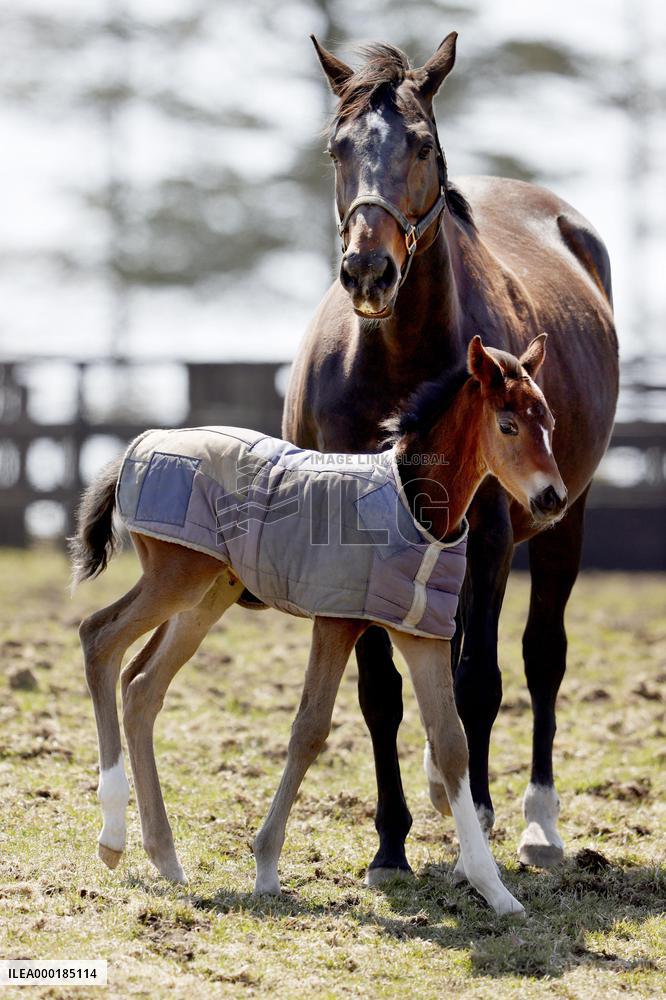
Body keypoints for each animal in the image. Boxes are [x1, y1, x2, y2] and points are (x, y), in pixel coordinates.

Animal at [72, 335, 564, 916]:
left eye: (550, 421)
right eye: (508, 424)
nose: (553, 498)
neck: (415, 504)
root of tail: (143, 443)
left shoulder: (421, 634)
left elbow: (451, 743)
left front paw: (495, 890)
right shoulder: (336, 619)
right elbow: (310, 729)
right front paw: (265, 867)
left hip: (207, 594)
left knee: (143, 685)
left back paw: (164, 857)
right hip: (175, 577)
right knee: (98, 637)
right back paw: (112, 835)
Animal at [281, 32, 618, 881]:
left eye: (423, 145)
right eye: (335, 148)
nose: (370, 271)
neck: (399, 364)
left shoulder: (492, 536)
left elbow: (478, 682)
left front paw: (477, 829)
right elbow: (380, 691)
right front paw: (390, 844)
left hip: (562, 520)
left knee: (541, 657)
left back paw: (537, 825)